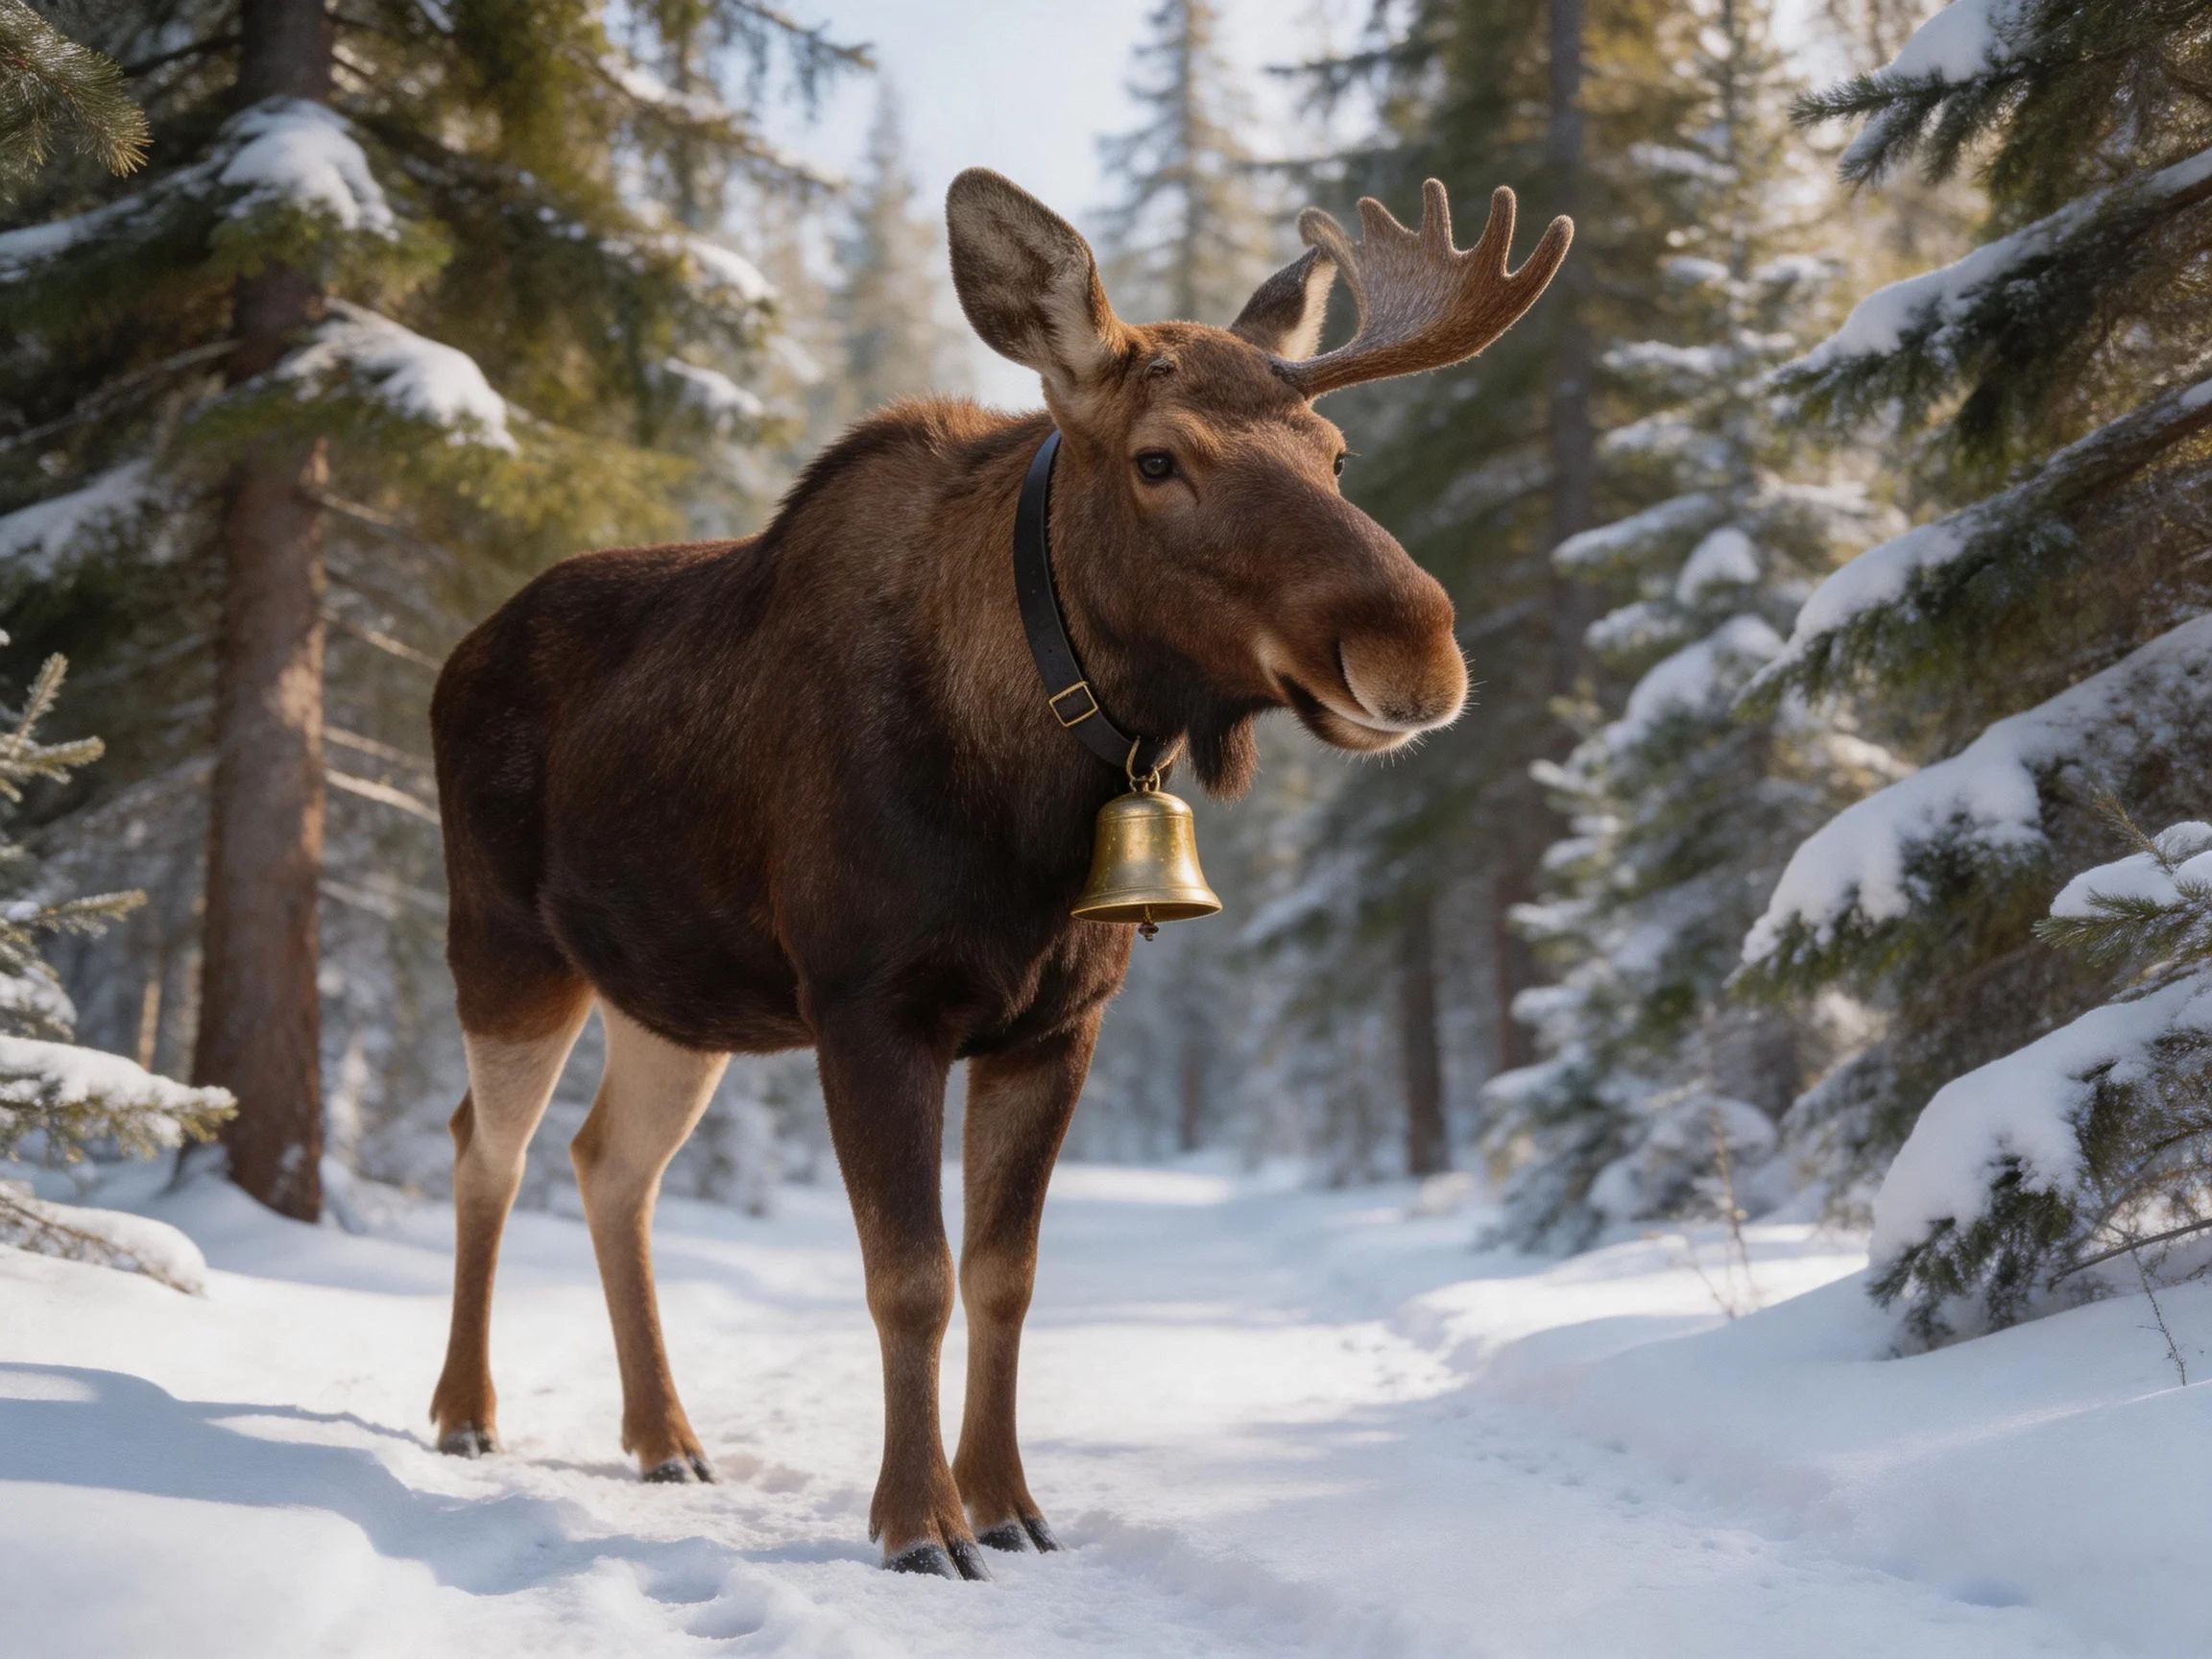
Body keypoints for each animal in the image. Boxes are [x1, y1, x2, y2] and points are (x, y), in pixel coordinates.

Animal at [426, 169, 1570, 1578]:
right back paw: (465, 1413)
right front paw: (918, 1524)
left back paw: (665, 1436)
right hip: (506, 948)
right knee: (488, 1146)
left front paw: (1010, 1503)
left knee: (608, 1165)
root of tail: (457, 656)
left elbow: (1003, 1278)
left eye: (1337, 454)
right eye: (1158, 459)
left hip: (674, 998)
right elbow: (908, 1279)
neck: (1030, 788)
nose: (1414, 648)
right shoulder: (869, 1003)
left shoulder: (1056, 1024)